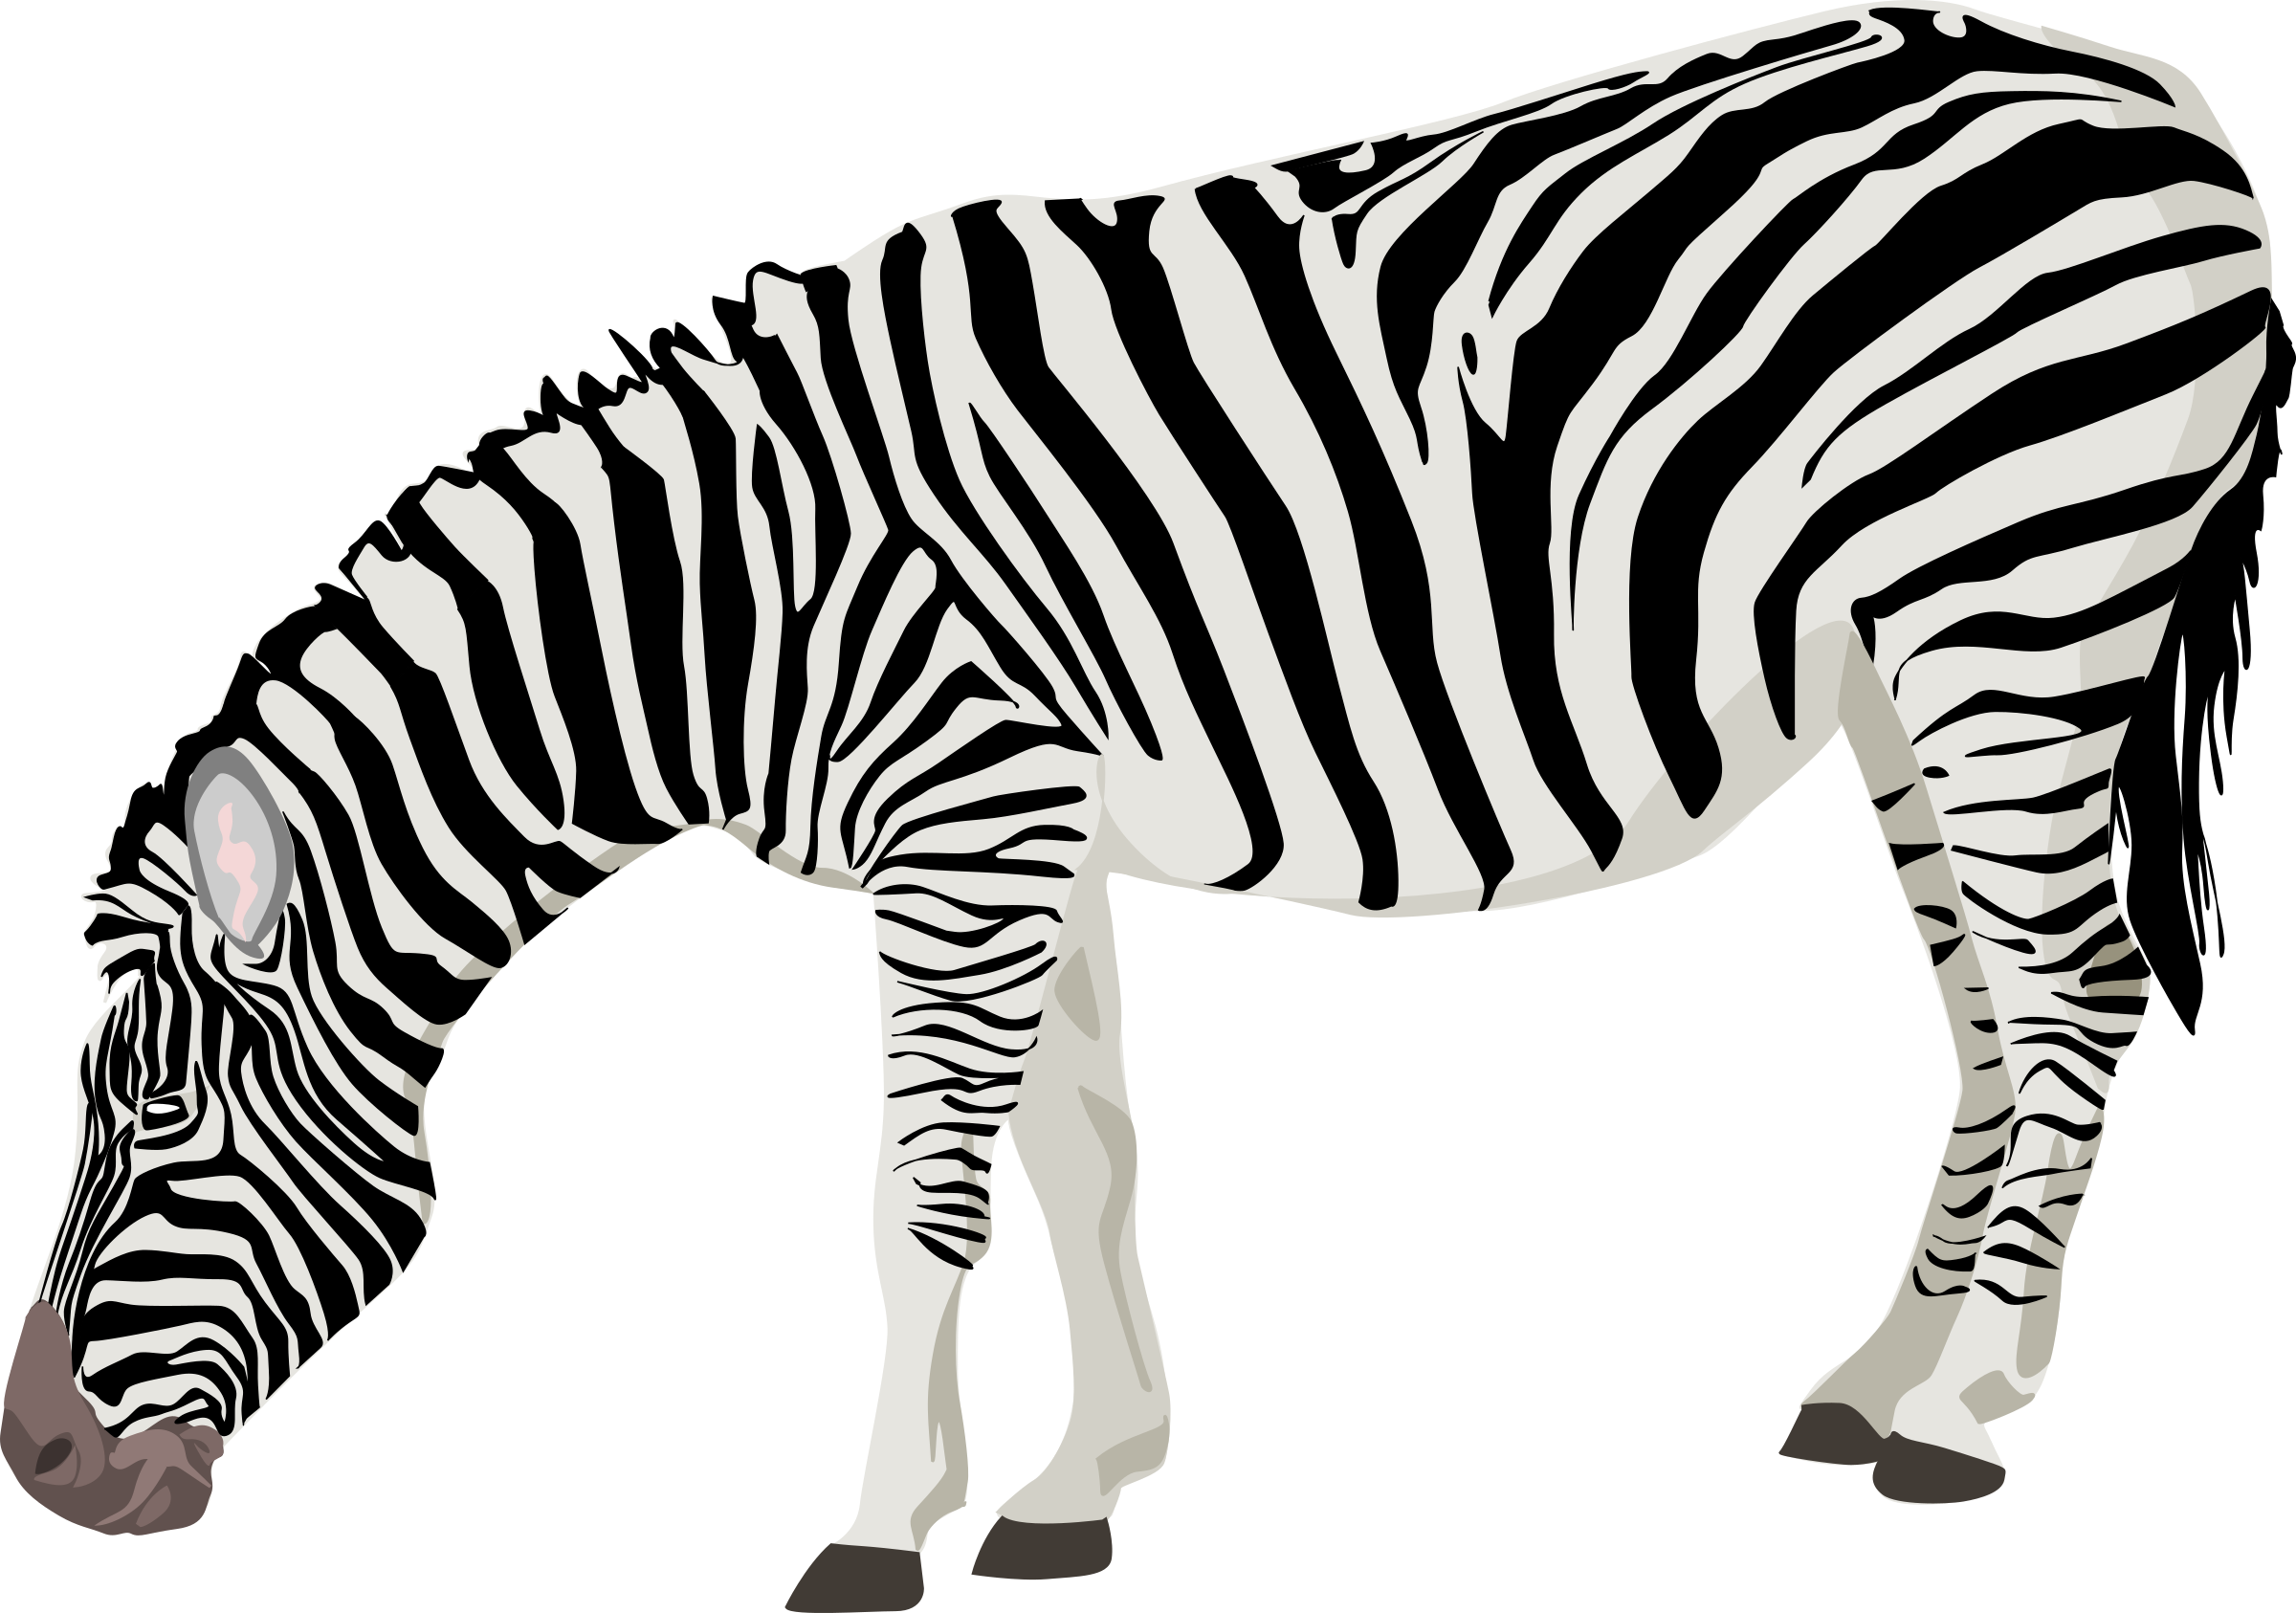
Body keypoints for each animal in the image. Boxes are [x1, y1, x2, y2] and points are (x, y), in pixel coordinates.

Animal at [3, 0, 2266, 1597]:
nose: (30, 1468)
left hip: (2019, 599)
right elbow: (1088, 1163)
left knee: (2083, 989)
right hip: (1907, 673)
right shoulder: (1035, 830)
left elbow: (922, 1197)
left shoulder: (968, 818)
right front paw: (1079, 1486)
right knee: (1990, 1014)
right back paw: (1885, 1375)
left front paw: (882, 1529)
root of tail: (2153, 84)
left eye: (163, 1121)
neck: (717, 601)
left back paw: (1962, 1416)